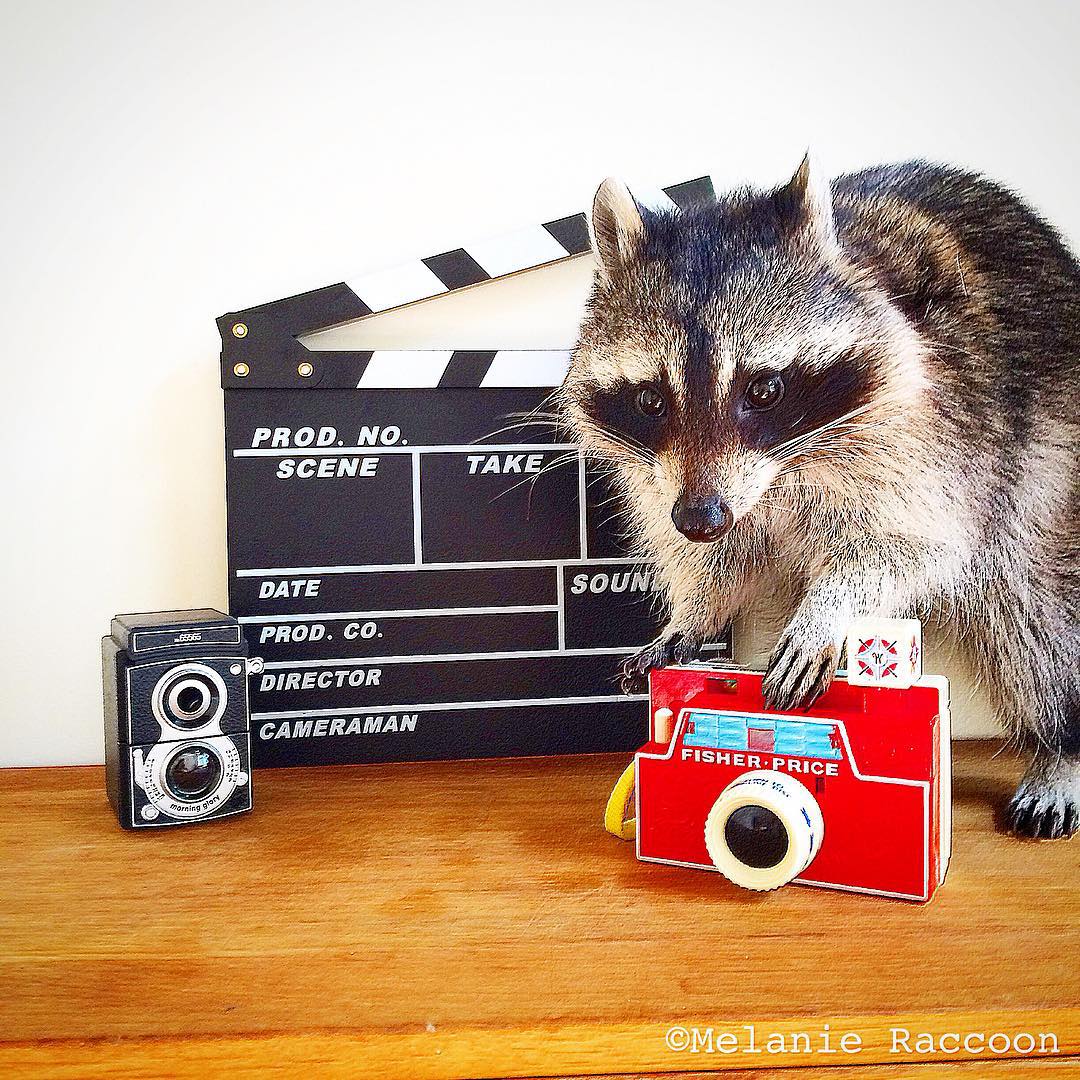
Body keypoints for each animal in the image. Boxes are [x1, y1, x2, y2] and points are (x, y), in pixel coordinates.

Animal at [560, 156, 1080, 840]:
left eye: (763, 388)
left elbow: (912, 546)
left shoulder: (936, 441)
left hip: (1044, 468)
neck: (778, 475)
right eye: (650, 399)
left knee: (1037, 610)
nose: (700, 517)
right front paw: (694, 607)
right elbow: (717, 556)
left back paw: (1063, 745)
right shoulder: (674, 482)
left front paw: (827, 606)